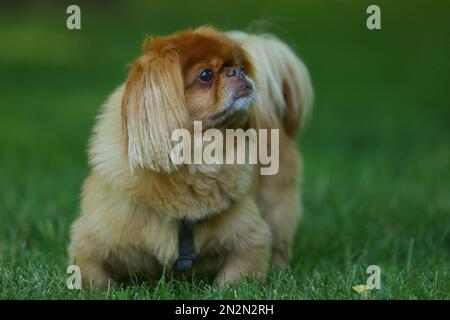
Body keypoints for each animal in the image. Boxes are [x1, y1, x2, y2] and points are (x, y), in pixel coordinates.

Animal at [68, 26, 312, 288]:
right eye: (206, 74)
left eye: (240, 67)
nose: (236, 71)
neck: (198, 157)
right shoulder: (89, 242)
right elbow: (92, 277)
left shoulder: (250, 239)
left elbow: (236, 278)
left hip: (277, 206)